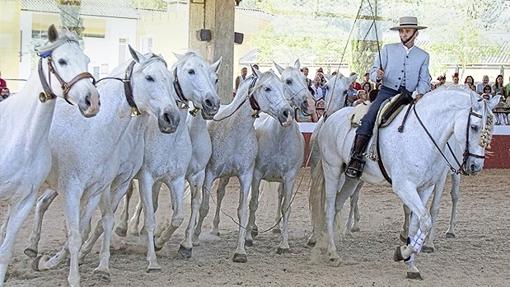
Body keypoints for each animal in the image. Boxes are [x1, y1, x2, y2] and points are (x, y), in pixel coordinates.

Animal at [0, 26, 100, 286]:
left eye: (86, 60)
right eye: (62, 61)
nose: (92, 101)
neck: (21, 138)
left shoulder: (23, 200)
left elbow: (5, 250)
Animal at [27, 46, 181, 286]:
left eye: (170, 79)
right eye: (149, 77)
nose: (171, 118)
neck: (94, 131)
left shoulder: (101, 188)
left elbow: (92, 225)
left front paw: (95, 266)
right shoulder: (74, 189)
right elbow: (78, 230)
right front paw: (72, 272)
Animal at [192, 68, 294, 264]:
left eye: (282, 86)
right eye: (267, 88)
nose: (287, 112)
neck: (234, 131)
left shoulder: (246, 176)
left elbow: (243, 211)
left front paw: (240, 251)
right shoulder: (210, 174)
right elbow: (204, 207)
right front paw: (194, 238)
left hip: (226, 176)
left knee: (221, 194)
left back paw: (216, 229)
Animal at [310, 85, 498, 280]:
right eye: (474, 127)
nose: (476, 166)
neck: (423, 136)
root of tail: (330, 118)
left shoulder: (425, 187)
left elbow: (418, 223)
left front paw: (410, 264)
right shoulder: (404, 187)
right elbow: (425, 220)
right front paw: (403, 252)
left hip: (351, 178)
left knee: (338, 204)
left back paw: (327, 244)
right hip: (332, 170)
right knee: (329, 208)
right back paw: (332, 253)